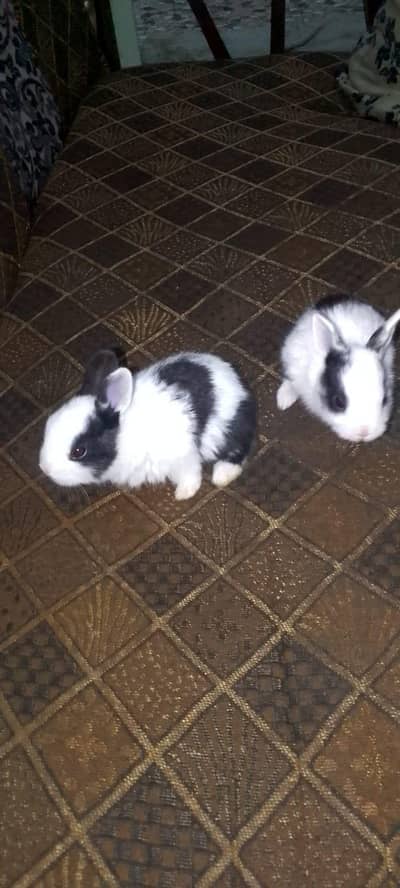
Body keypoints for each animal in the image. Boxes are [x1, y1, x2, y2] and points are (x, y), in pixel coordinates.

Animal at [39, 349, 256, 500]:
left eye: (78, 451)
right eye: (48, 425)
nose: (45, 469)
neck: (123, 434)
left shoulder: (182, 454)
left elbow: (190, 473)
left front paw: (184, 493)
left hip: (222, 432)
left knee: (237, 450)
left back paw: (222, 475)